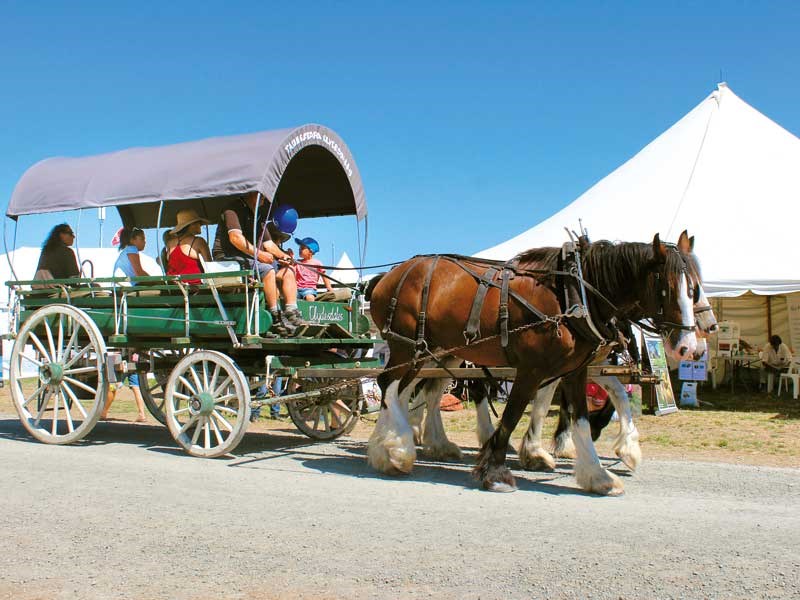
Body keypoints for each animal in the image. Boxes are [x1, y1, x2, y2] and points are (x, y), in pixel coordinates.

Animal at [368, 232, 700, 494]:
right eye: (667, 288)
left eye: (694, 289)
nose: (689, 348)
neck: (573, 295)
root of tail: (389, 276)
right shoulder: (531, 369)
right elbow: (513, 414)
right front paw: (496, 472)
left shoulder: (575, 370)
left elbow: (578, 418)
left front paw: (597, 475)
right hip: (406, 347)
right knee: (389, 385)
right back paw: (397, 449)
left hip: (433, 352)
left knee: (406, 390)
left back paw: (393, 446)